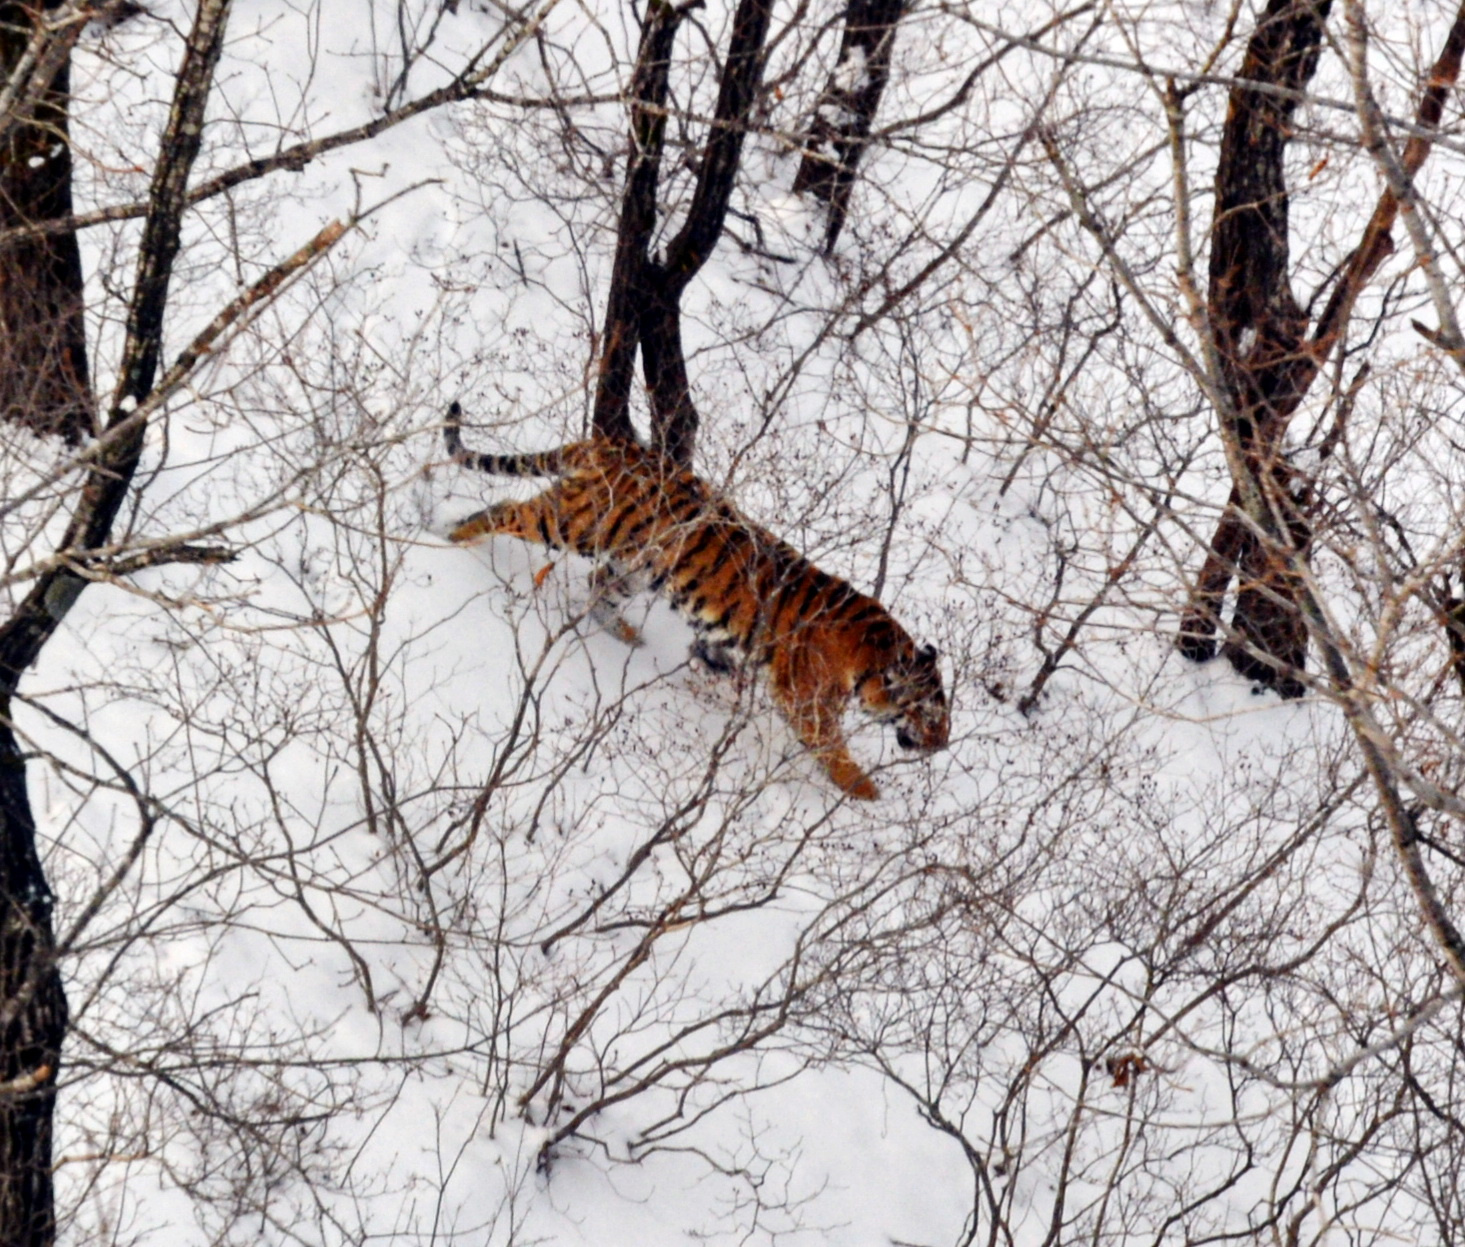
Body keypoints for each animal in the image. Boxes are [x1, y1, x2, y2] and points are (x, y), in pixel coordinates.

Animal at [442, 404, 949, 803]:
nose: (942, 745)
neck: (875, 660)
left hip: (635, 567)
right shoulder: (808, 701)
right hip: (573, 524)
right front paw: (863, 789)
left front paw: (711, 665)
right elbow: (832, 745)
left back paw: (626, 635)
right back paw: (450, 535)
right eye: (931, 714)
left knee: (597, 583)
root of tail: (615, 445)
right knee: (506, 510)